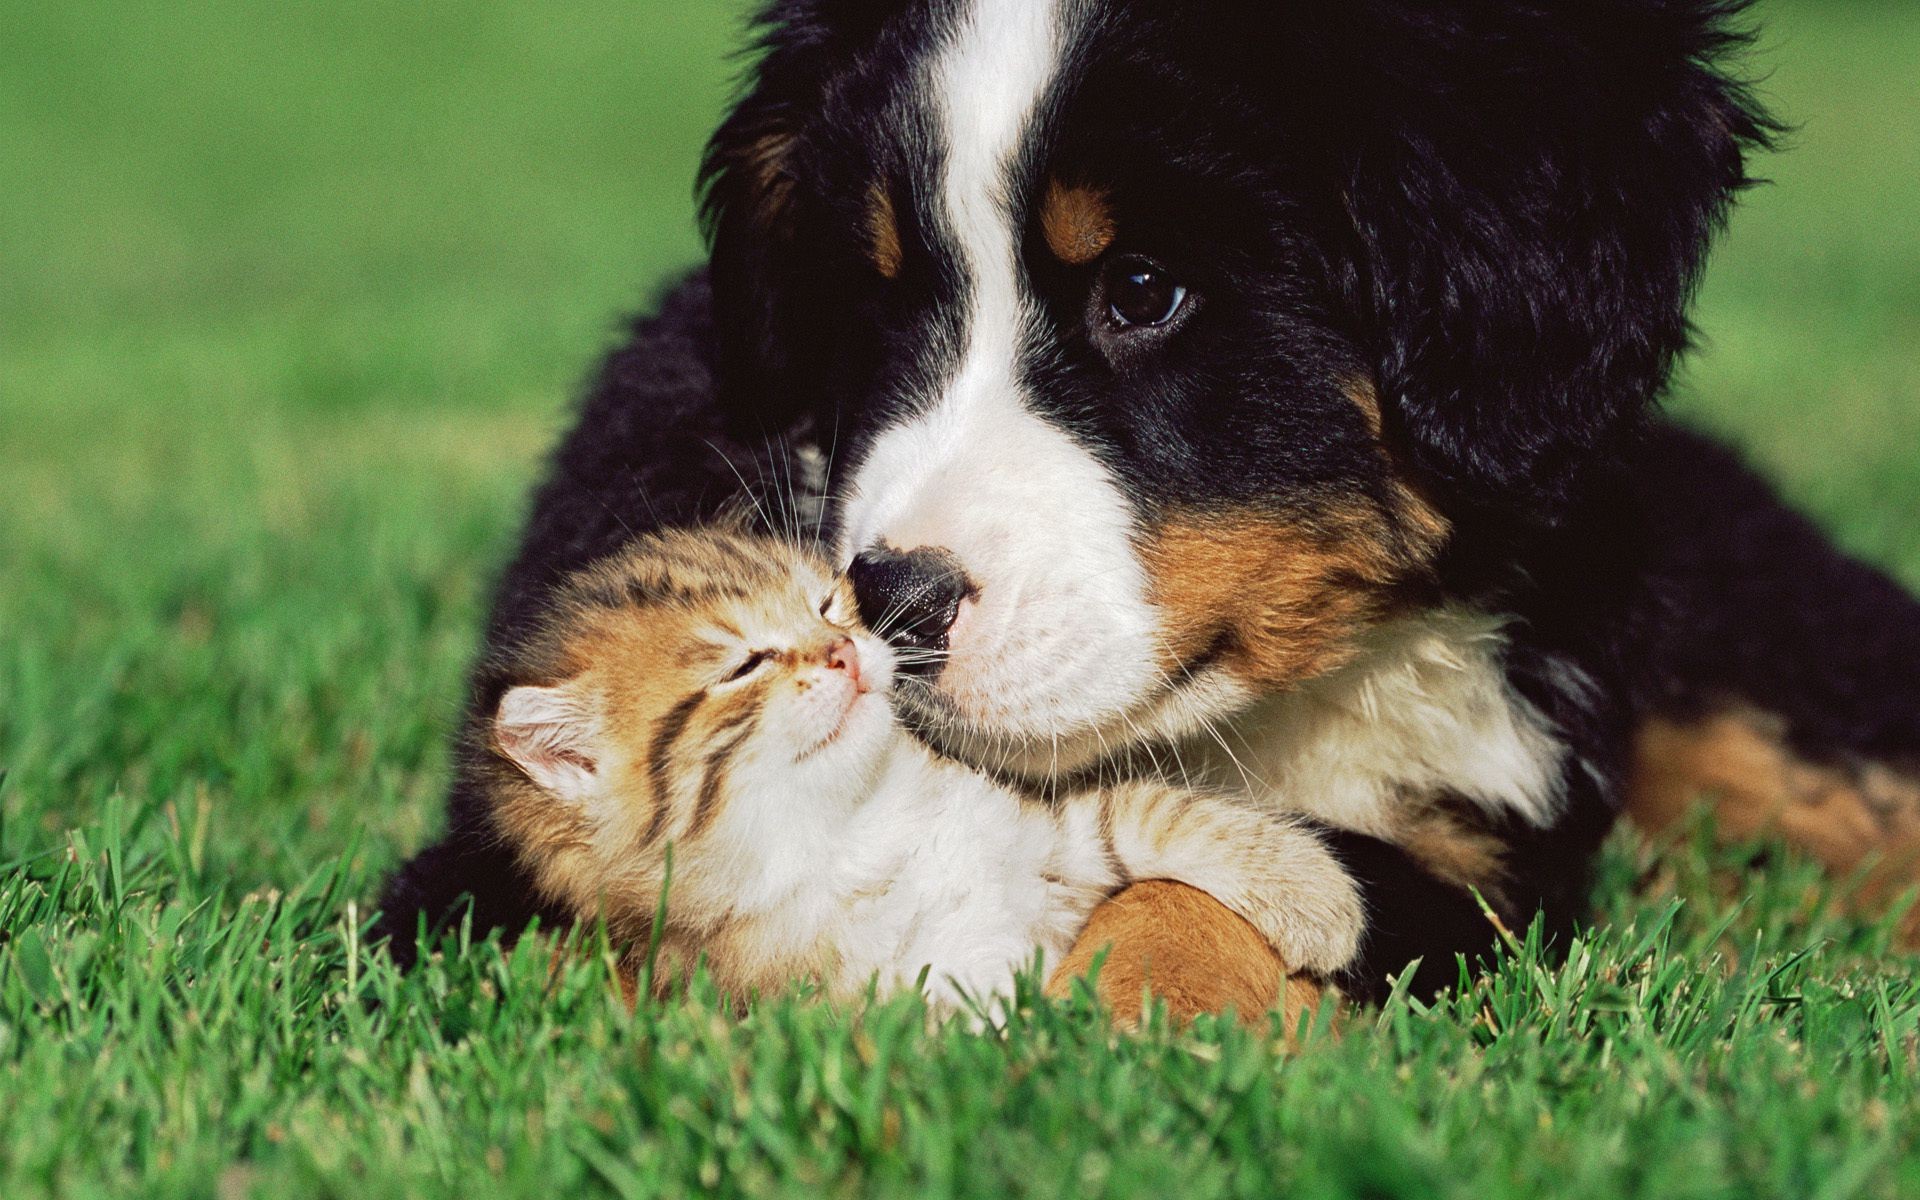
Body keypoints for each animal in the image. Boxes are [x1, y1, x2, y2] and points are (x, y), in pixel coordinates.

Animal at [476, 529, 1367, 1013]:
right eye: (744, 665)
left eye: (827, 607)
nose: (843, 651)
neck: (861, 826)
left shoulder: (1038, 834)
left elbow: (1140, 813)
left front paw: (1311, 896)